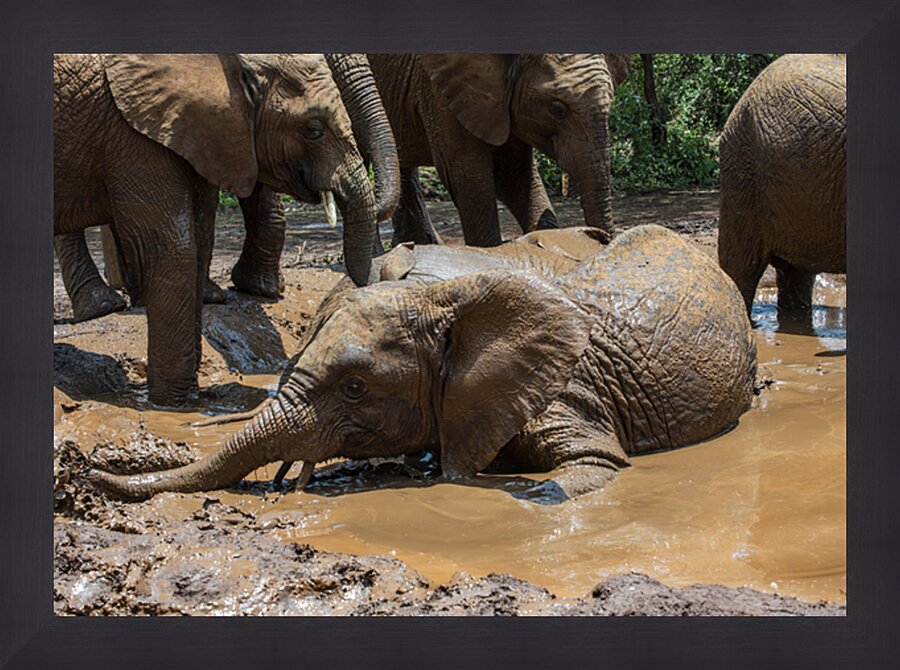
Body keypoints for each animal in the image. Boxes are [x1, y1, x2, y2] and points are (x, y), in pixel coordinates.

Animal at [54, 53, 399, 405]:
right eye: (313, 130)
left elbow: (200, 240)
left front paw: (191, 394)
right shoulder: (133, 135)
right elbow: (173, 250)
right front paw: (173, 403)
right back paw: (103, 307)